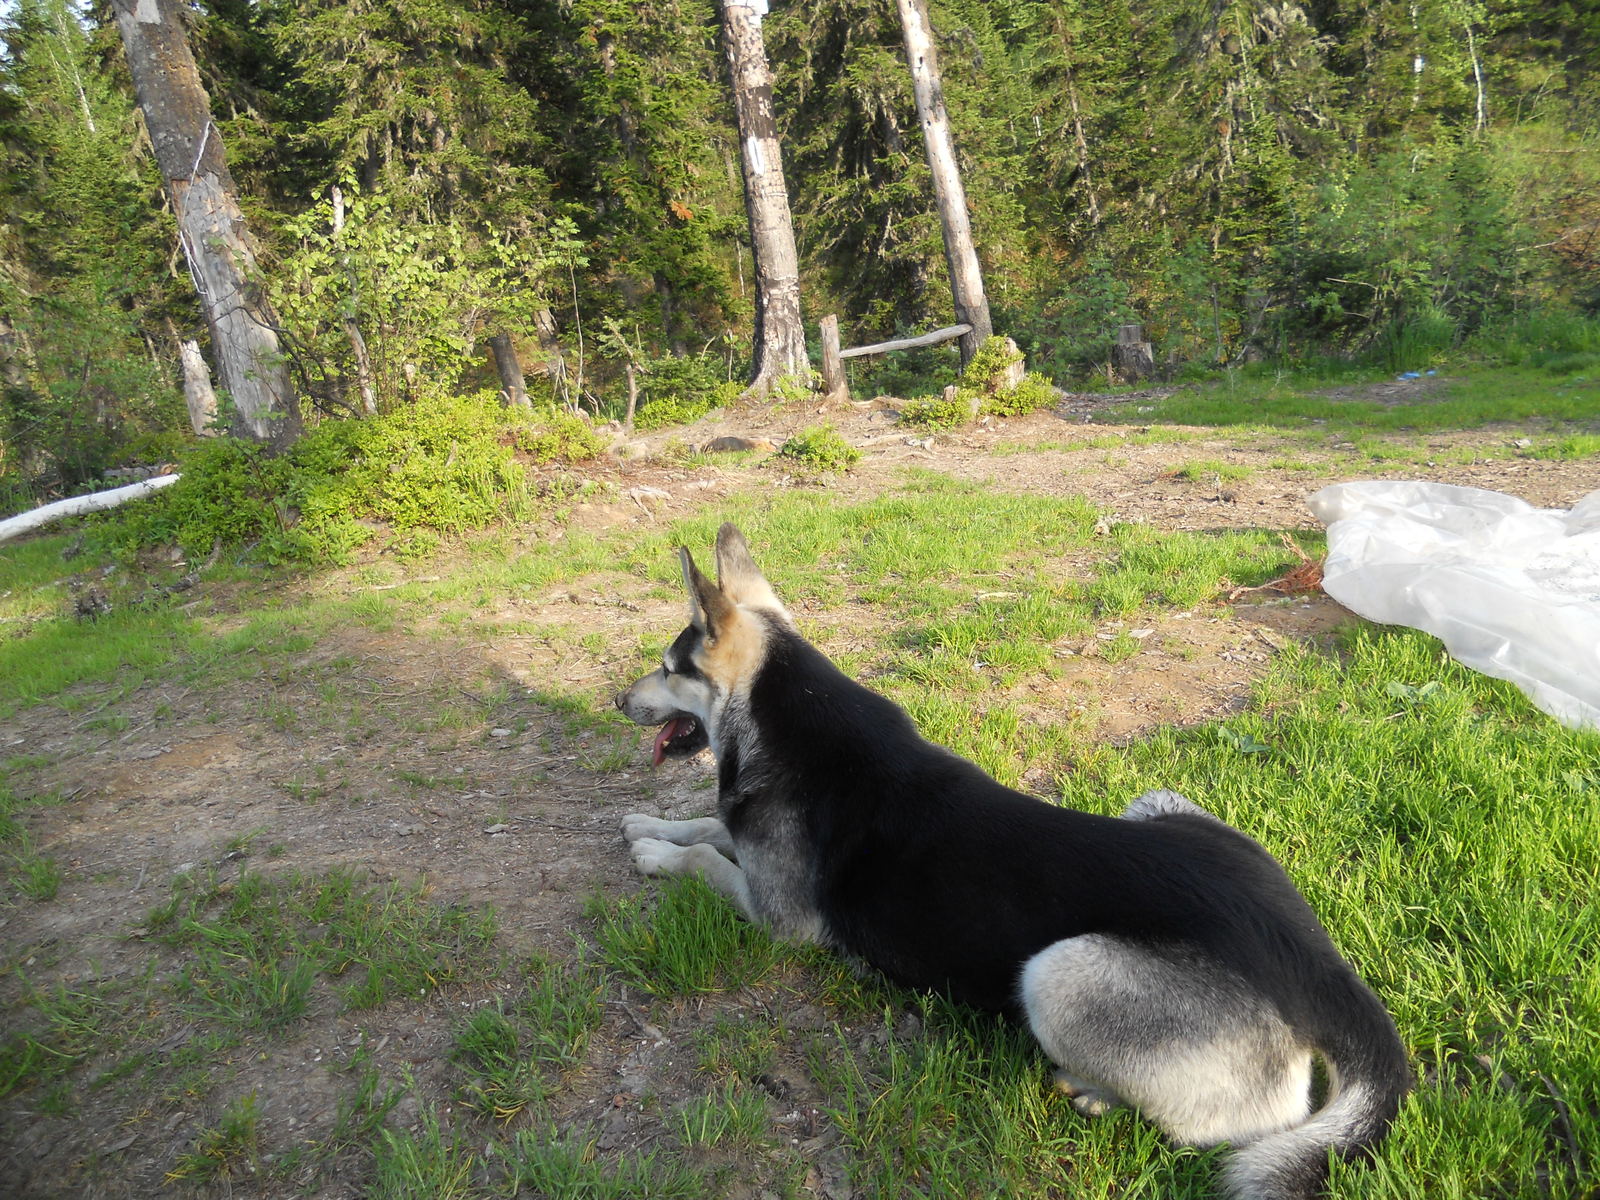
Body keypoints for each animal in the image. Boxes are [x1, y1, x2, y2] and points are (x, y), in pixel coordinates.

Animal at [611, 524, 1414, 1200]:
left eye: (666, 668)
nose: (619, 700)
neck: (778, 717)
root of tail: (1318, 969)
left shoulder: (780, 920)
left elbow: (706, 859)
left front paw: (654, 852)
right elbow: (708, 827)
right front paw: (650, 823)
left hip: (1058, 972)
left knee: (1223, 1128)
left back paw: (1093, 1091)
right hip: (1158, 807)